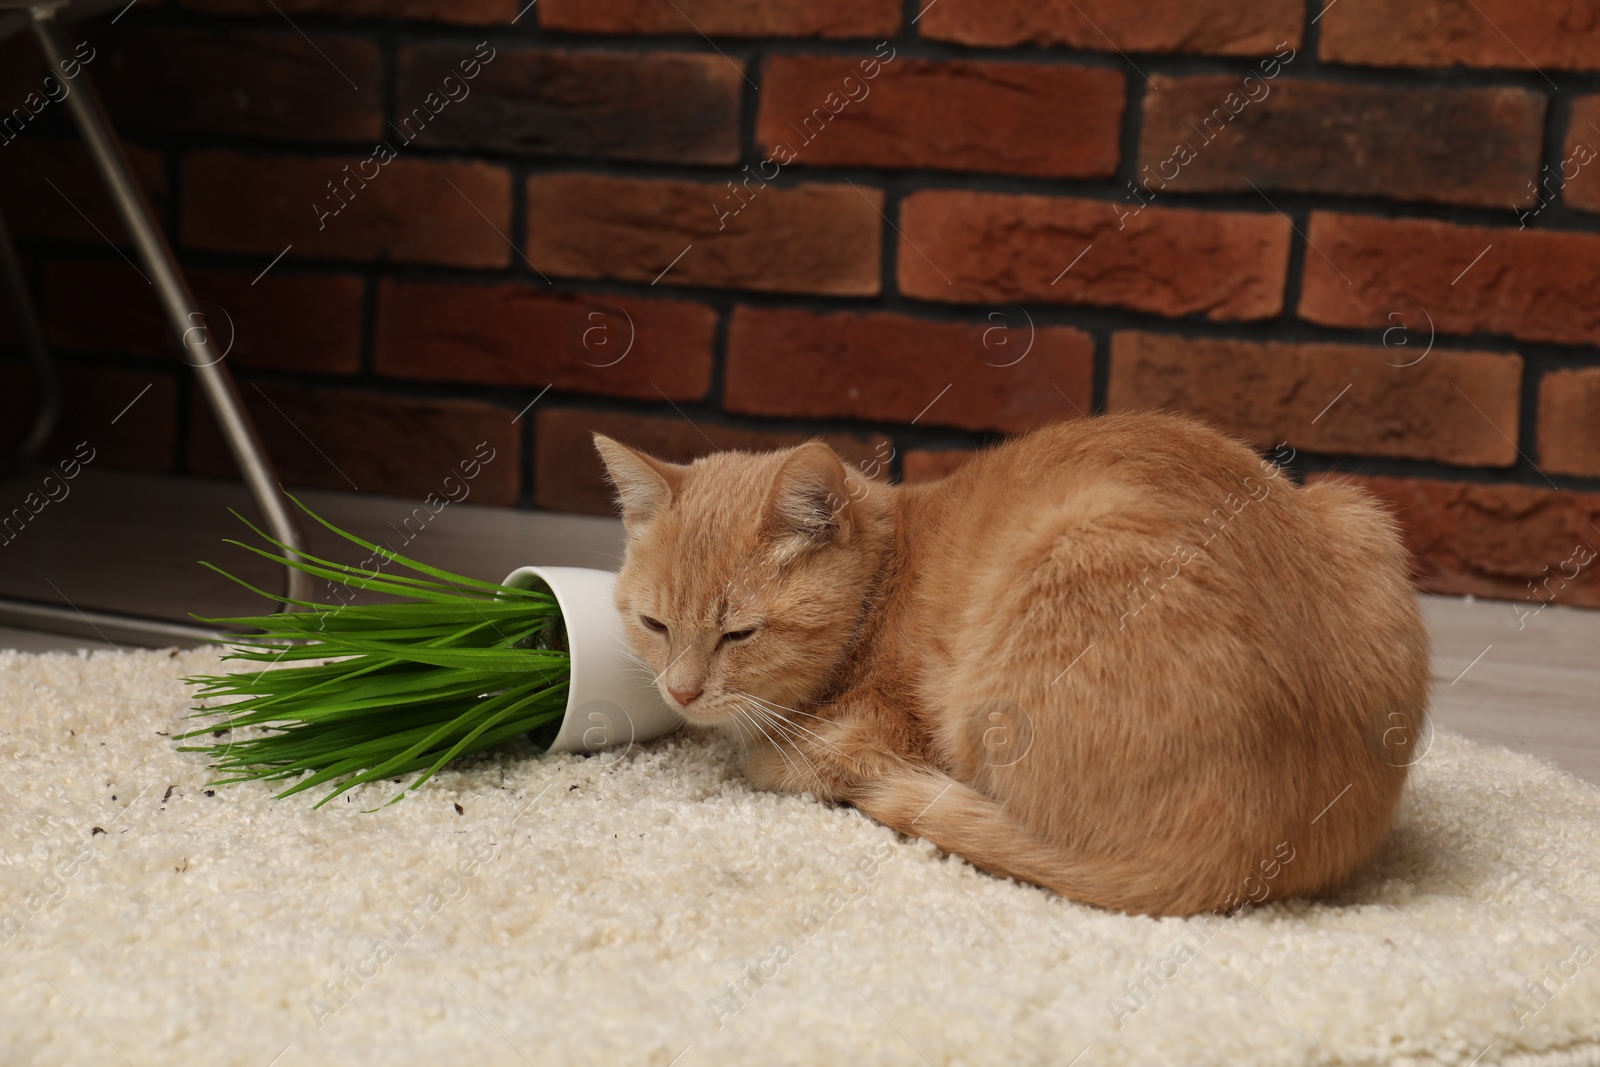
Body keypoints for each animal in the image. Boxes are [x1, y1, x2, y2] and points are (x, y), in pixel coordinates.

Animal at [592, 415, 1427, 921]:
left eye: (740, 633)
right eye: (656, 625)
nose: (680, 689)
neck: (885, 581)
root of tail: (1244, 851)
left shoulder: (857, 741)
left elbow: (782, 757)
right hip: (1358, 513)